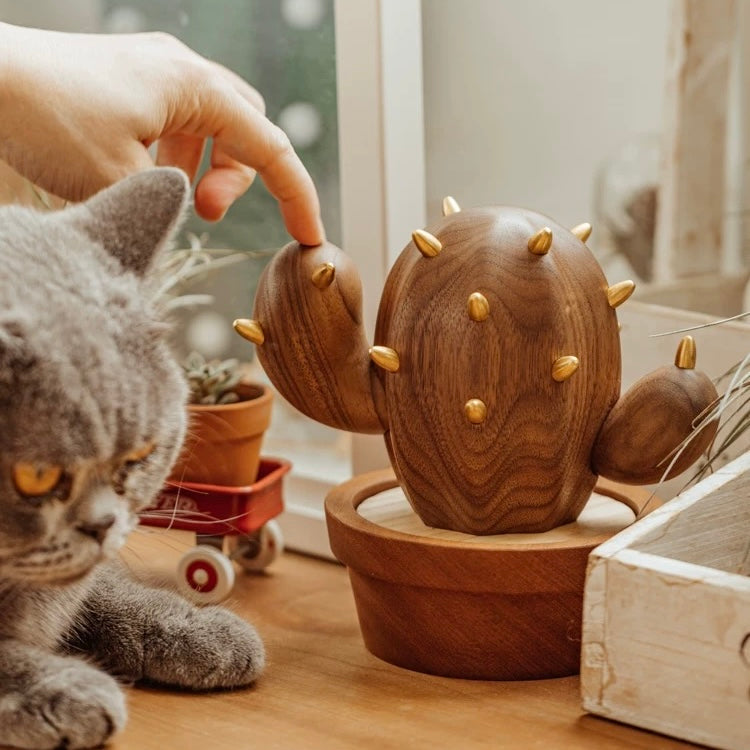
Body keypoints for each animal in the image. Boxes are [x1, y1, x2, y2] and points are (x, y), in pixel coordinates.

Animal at [0, 167, 264, 748]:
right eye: (35, 476)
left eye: (141, 453)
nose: (102, 525)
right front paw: (57, 689)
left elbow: (99, 589)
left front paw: (197, 628)